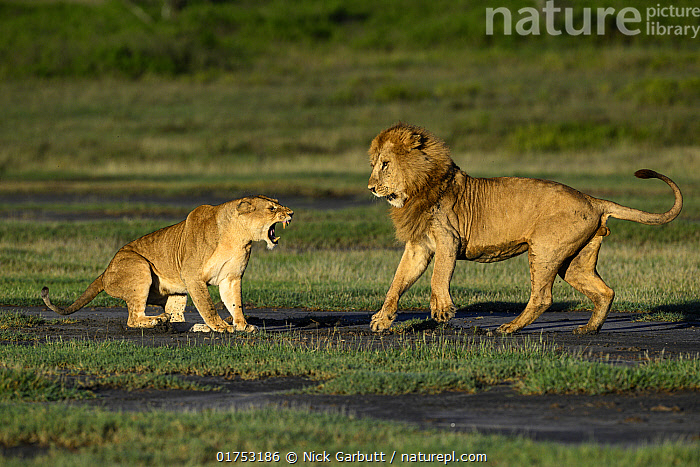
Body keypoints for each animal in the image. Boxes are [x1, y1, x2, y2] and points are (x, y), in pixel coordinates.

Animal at [41, 195, 293, 333]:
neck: (239, 237)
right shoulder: (192, 276)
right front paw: (221, 326)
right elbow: (207, 305)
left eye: (278, 204)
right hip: (138, 267)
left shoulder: (231, 278)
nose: (291, 213)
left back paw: (190, 326)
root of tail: (105, 272)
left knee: (177, 318)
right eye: (272, 208)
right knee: (134, 318)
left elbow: (235, 303)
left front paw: (241, 325)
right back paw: (159, 320)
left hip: (176, 294)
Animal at [368, 123, 683, 334]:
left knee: (543, 297)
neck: (416, 189)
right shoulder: (419, 246)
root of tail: (592, 200)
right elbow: (397, 282)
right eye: (373, 164)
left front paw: (442, 310)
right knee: (605, 291)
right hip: (574, 262)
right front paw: (382, 320)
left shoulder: (449, 239)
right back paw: (588, 329)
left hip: (545, 249)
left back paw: (509, 328)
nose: (370, 188)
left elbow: (438, 276)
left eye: (385, 164)